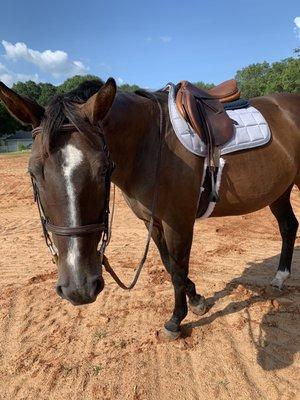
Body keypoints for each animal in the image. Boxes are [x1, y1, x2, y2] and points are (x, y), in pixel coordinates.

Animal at [0, 77, 300, 338]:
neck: (150, 145)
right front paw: (197, 300)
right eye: (33, 172)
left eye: (103, 169)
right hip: (279, 190)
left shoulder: (177, 223)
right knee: (288, 226)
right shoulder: (152, 222)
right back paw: (279, 278)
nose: (79, 289)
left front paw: (176, 320)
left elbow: (178, 268)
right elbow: (170, 265)